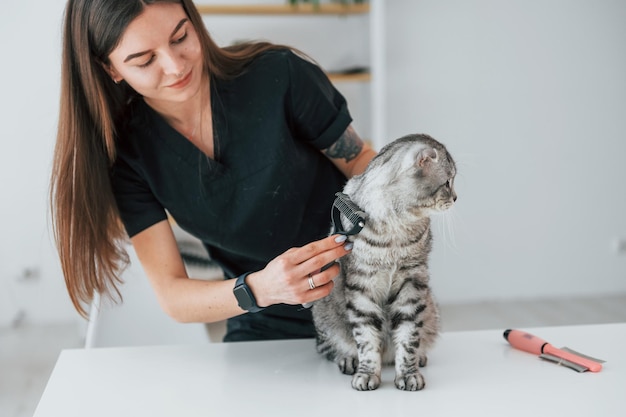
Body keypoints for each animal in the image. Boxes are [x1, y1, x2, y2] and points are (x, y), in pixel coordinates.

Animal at [310, 133, 454, 390]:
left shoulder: (412, 283)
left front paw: (408, 373)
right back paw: (348, 359)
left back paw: (419, 357)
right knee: (332, 348)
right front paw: (367, 373)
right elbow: (366, 340)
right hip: (324, 314)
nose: (456, 197)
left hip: (431, 310)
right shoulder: (362, 286)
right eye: (448, 182)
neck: (396, 229)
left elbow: (408, 338)